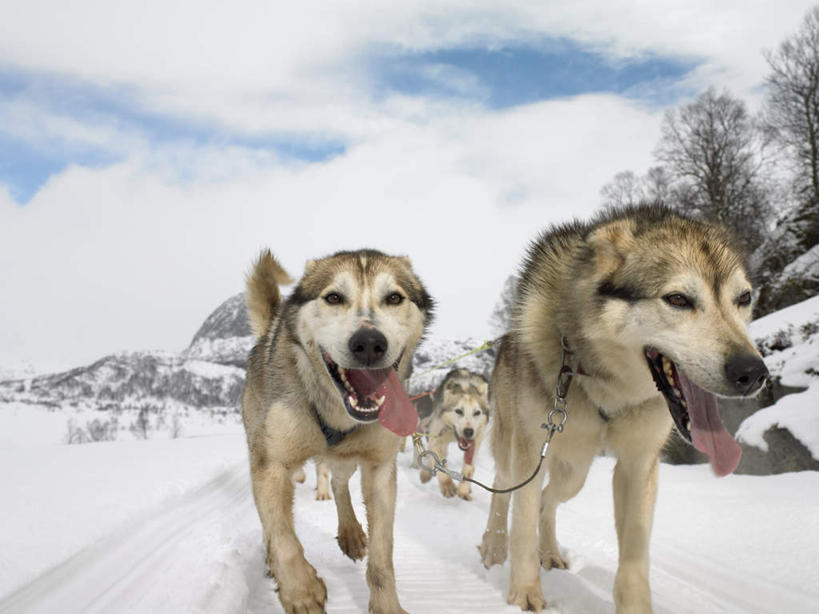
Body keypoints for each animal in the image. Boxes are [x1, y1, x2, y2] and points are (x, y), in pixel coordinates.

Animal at [242, 249, 436, 614]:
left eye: (394, 298)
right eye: (333, 297)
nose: (369, 343)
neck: (336, 413)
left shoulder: (380, 468)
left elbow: (382, 553)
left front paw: (387, 604)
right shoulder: (271, 465)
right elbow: (283, 536)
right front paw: (301, 590)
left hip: (347, 458)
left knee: (339, 483)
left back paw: (350, 532)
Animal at [416, 370, 486, 500]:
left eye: (477, 412)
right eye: (458, 411)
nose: (469, 432)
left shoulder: (476, 441)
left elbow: (469, 468)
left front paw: (463, 490)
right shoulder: (437, 437)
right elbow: (438, 462)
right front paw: (447, 485)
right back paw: (426, 474)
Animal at [480, 205, 768, 612]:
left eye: (743, 298)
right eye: (678, 299)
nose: (752, 372)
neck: (603, 384)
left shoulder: (639, 463)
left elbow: (634, 554)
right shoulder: (531, 452)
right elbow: (521, 525)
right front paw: (524, 594)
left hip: (575, 471)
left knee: (548, 501)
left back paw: (548, 551)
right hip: (519, 451)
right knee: (504, 489)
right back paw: (493, 545)